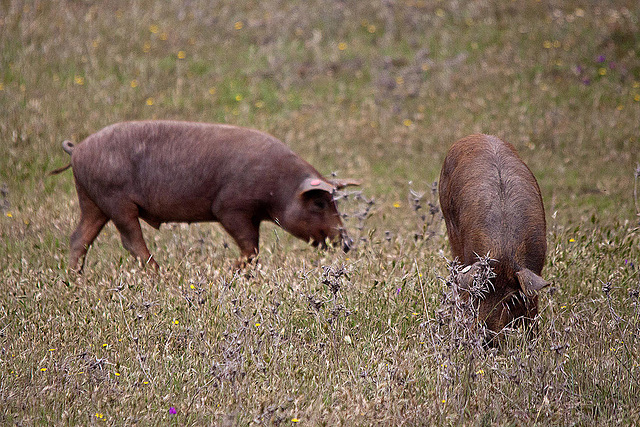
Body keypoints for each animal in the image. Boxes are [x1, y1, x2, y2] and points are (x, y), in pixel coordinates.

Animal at [51, 120, 360, 272]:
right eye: (319, 202)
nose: (347, 243)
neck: (279, 187)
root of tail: (77, 149)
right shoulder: (230, 208)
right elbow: (250, 247)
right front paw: (231, 272)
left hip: (92, 199)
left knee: (79, 238)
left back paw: (75, 280)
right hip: (115, 199)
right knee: (132, 241)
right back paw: (160, 276)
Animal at [440, 134, 552, 334]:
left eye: (511, 300)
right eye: (477, 295)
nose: (485, 336)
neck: (504, 253)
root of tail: (477, 135)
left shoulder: (535, 267)